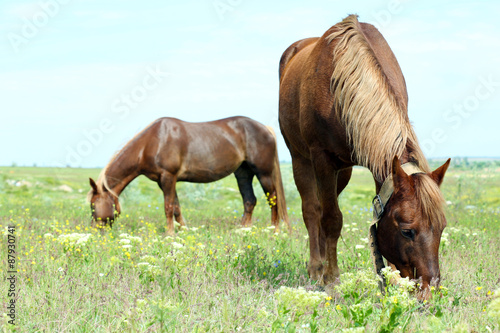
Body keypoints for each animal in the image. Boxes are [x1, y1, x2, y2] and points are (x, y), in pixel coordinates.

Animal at [86, 116, 290, 233]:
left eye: (93, 205)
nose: (95, 232)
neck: (152, 142)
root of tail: (266, 128)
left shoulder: (168, 177)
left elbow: (168, 207)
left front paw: (169, 235)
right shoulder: (164, 180)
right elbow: (176, 207)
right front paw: (183, 232)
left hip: (263, 173)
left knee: (273, 199)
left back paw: (274, 230)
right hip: (243, 173)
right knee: (249, 200)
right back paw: (242, 230)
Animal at [280, 14, 452, 296]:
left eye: (442, 227)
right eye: (407, 231)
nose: (429, 289)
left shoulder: (377, 163)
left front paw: (391, 278)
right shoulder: (321, 159)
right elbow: (331, 219)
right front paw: (332, 279)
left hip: (343, 171)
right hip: (300, 158)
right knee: (312, 211)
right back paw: (316, 269)